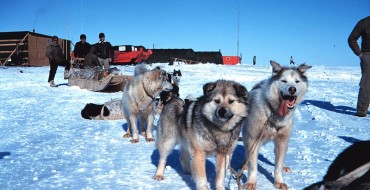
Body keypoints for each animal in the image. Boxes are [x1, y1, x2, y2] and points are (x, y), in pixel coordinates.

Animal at [241, 61, 310, 190]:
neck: (273, 112)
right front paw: (251, 182)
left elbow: (278, 166)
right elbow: (253, 167)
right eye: (284, 81)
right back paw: (244, 165)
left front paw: (279, 181)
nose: (292, 89)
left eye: (297, 81)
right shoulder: (253, 139)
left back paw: (284, 166)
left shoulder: (282, 141)